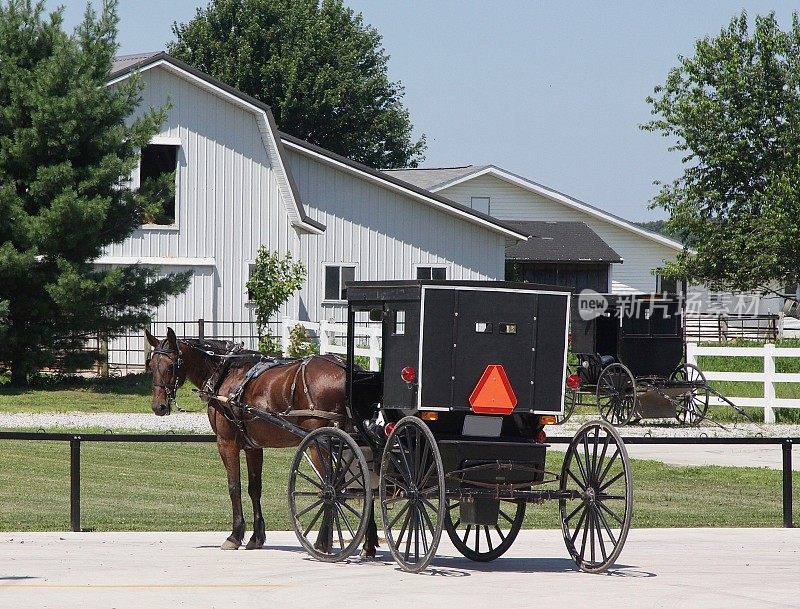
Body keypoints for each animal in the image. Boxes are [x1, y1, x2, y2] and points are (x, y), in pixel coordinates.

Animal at [145, 328, 378, 556]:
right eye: (152, 366)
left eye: (171, 365)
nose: (158, 407)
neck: (227, 374)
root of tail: (347, 370)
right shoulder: (253, 447)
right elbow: (254, 488)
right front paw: (256, 537)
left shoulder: (226, 443)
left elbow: (234, 487)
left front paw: (234, 536)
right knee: (366, 485)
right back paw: (367, 544)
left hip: (318, 444)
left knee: (332, 488)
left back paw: (322, 543)